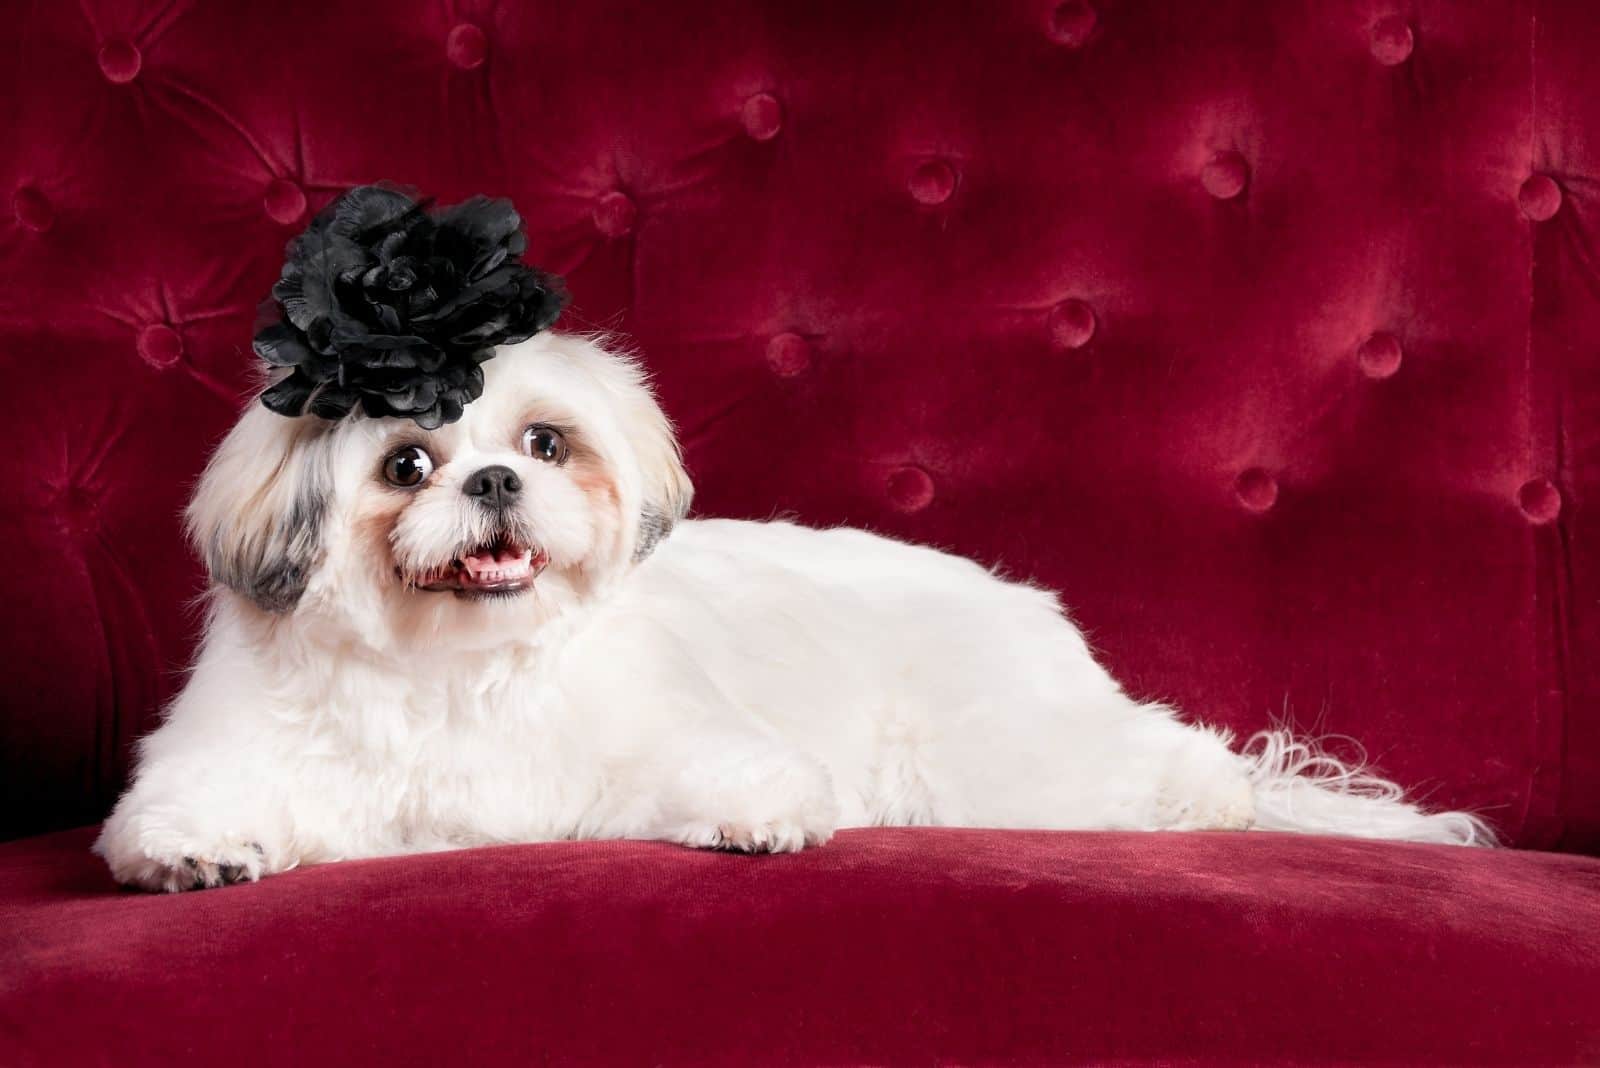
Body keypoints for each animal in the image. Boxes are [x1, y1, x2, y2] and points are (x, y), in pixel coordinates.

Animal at [96, 334, 1484, 895]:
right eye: (406, 464)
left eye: (544, 443)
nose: (491, 480)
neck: (458, 671)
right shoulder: (224, 758)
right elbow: (168, 821)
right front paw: (198, 857)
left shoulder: (680, 746)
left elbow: (739, 784)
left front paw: (753, 828)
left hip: (1010, 764)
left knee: (1173, 759)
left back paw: (1218, 803)